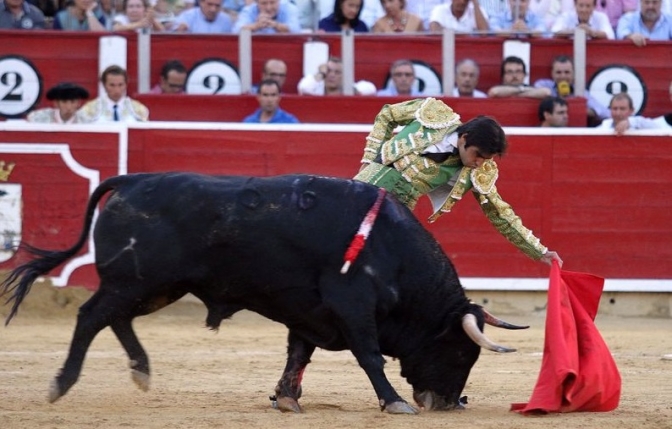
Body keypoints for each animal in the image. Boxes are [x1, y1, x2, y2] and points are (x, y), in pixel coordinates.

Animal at [0, 172, 528, 412]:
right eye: (461, 353)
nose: (448, 402)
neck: (390, 249)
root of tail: (133, 179)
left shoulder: (312, 312)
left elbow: (299, 352)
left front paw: (287, 400)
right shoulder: (352, 304)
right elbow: (370, 355)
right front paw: (393, 401)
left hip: (154, 287)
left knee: (118, 318)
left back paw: (142, 372)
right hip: (133, 282)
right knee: (91, 316)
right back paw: (62, 384)